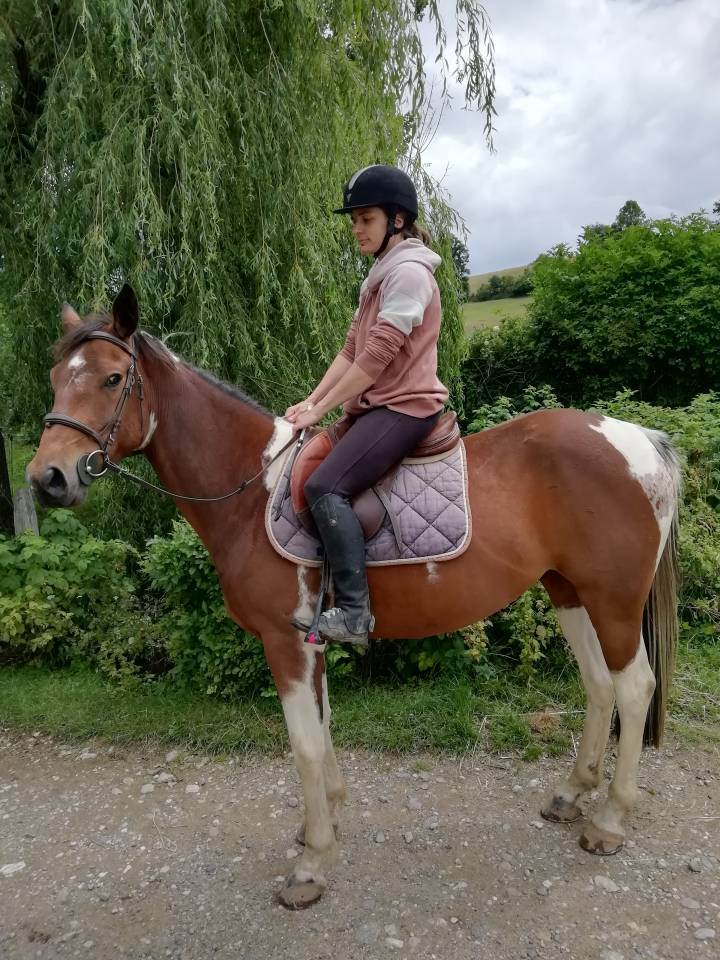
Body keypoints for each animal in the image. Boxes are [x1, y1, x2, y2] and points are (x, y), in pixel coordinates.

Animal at [27, 284, 680, 910]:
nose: (46, 478)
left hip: (614, 600)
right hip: (569, 591)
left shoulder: (284, 642)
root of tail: (638, 439)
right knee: (598, 685)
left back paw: (610, 821)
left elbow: (303, 745)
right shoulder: (310, 639)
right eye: (57, 378)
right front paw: (328, 817)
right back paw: (572, 793)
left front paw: (312, 864)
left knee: (633, 688)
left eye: (113, 378)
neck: (250, 490)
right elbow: (322, 728)